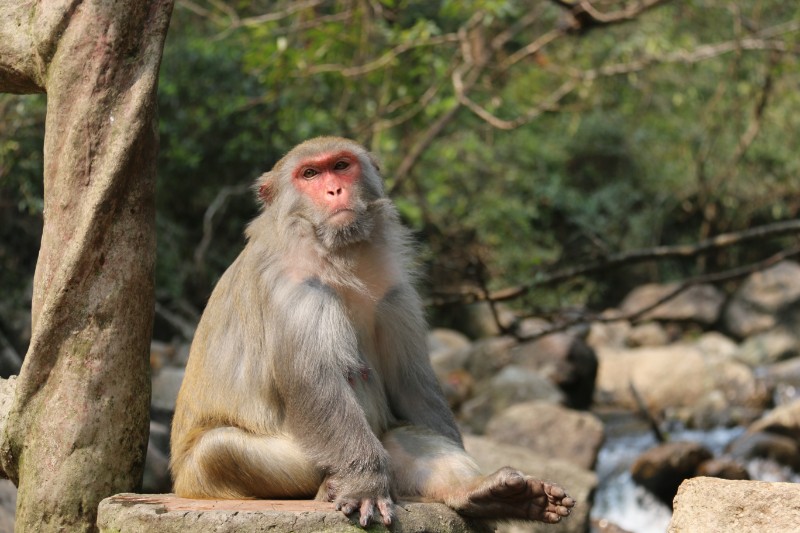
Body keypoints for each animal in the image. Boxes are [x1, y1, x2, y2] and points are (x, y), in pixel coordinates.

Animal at [169, 135, 572, 524]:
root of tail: (183, 484)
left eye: (341, 166)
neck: (338, 257)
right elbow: (316, 382)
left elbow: (411, 384)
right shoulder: (295, 288)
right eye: (310, 174)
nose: (335, 190)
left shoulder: (395, 294)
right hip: (215, 474)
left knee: (400, 436)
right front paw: (364, 484)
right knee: (218, 450)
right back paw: (332, 487)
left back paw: (484, 493)